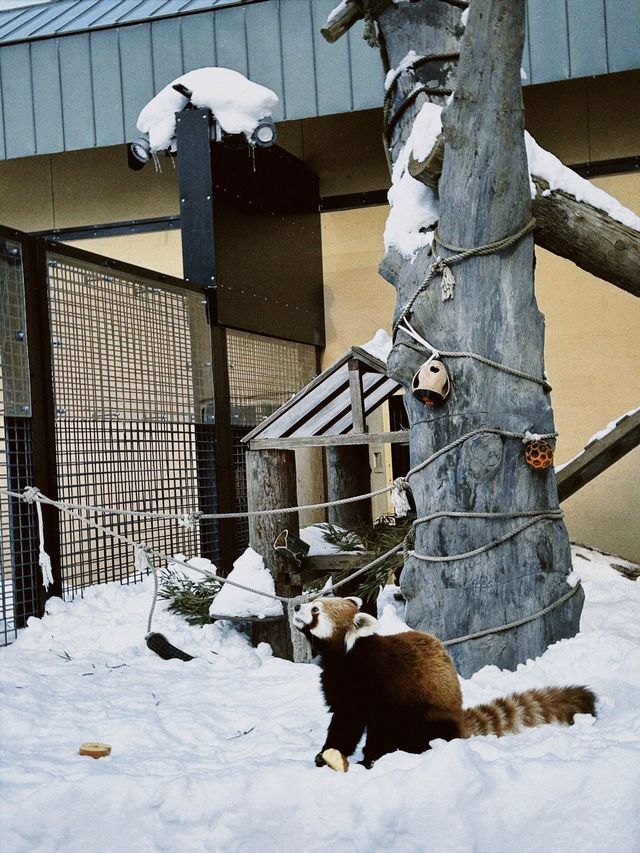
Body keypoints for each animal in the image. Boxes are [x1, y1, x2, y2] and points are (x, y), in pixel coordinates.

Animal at [292, 596, 596, 768]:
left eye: (315, 609)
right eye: (311, 601)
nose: (295, 605)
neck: (347, 657)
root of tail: (458, 719)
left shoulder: (382, 684)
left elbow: (380, 726)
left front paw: (371, 760)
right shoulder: (341, 688)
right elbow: (345, 723)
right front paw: (327, 755)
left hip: (429, 713)